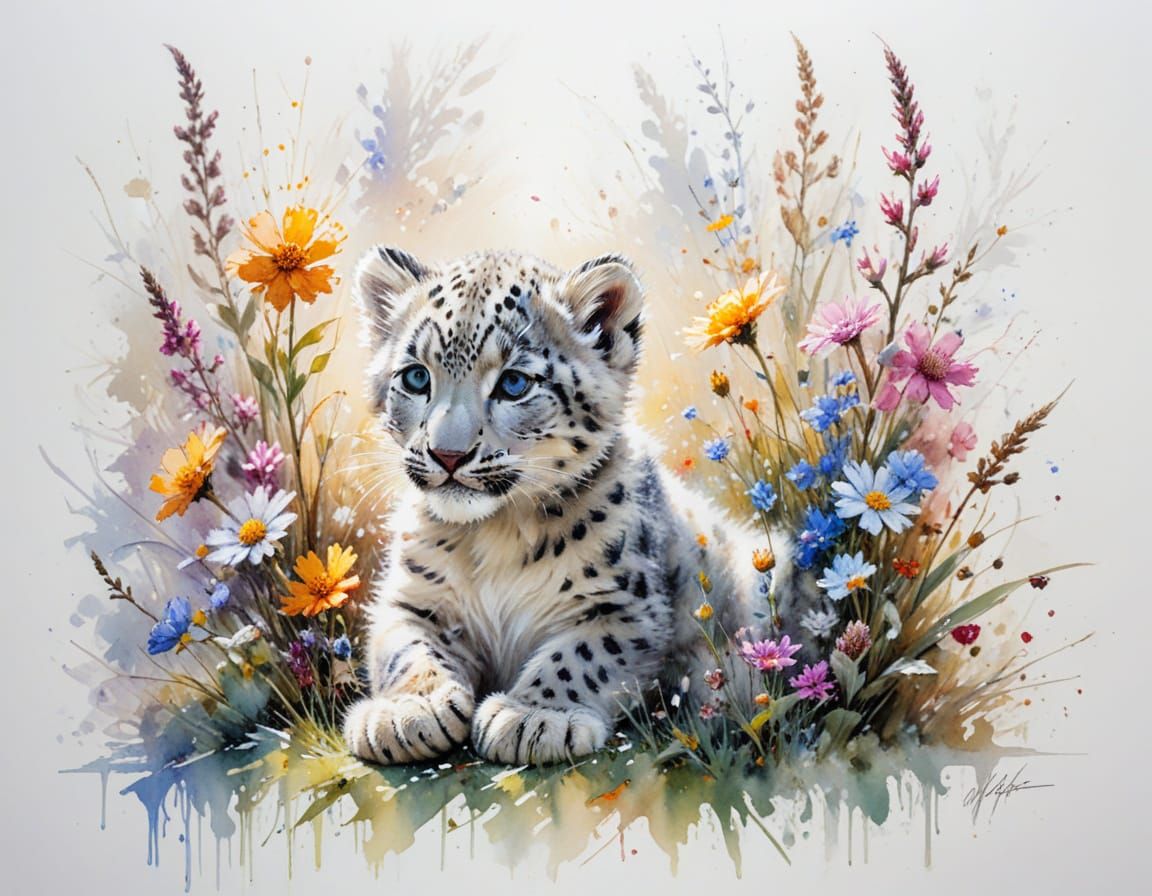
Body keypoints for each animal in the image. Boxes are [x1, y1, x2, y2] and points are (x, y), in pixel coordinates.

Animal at [341, 246, 818, 766]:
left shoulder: (625, 607)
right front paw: (406, 713)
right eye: (415, 376)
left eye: (514, 383)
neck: (494, 533)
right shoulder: (412, 600)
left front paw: (533, 717)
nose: (447, 454)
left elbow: (581, 656)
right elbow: (406, 648)